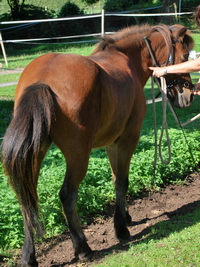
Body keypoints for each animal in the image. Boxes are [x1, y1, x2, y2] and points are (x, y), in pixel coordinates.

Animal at [1, 24, 195, 266]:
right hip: (78, 155)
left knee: (27, 199)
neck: (126, 60)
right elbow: (122, 181)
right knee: (67, 195)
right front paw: (121, 229)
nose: (188, 94)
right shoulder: (127, 140)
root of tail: (42, 80)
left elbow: (115, 179)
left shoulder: (111, 143)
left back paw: (29, 256)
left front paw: (125, 217)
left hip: (34, 153)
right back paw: (83, 248)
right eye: (185, 56)